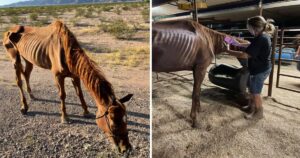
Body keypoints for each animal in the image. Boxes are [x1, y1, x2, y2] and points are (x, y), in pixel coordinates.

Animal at [2, 20, 131, 152]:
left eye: (126, 119)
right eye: (113, 124)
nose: (126, 148)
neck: (66, 51)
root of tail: (8, 31)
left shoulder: (75, 75)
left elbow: (80, 94)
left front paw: (86, 112)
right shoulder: (58, 76)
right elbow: (62, 95)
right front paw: (65, 117)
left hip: (28, 59)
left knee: (26, 75)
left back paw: (32, 95)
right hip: (15, 58)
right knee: (19, 81)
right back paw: (24, 107)